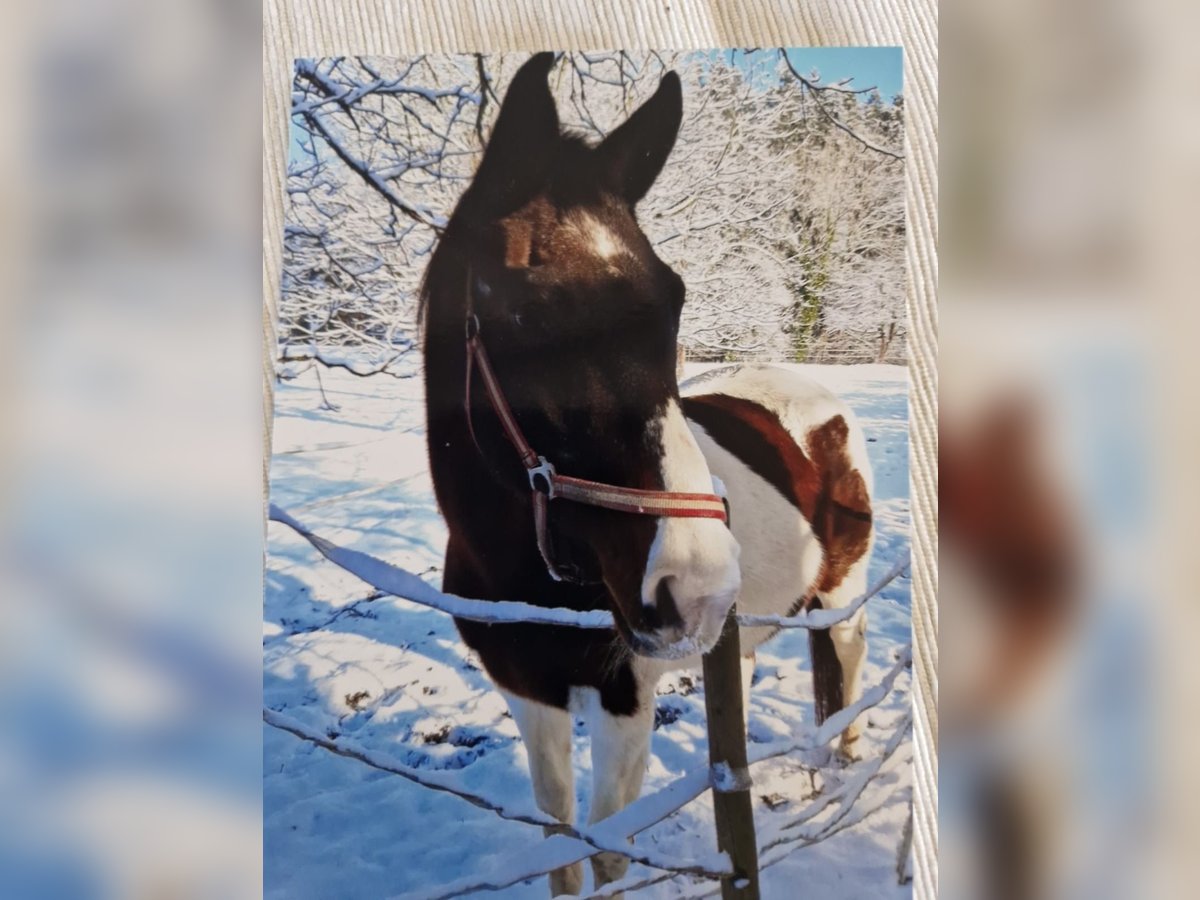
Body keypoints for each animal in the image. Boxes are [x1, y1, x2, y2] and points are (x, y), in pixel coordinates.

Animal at [422, 54, 873, 897]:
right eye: (522, 310)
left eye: (676, 300)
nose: (693, 587)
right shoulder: (526, 689)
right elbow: (559, 836)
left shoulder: (623, 697)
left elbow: (606, 849)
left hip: (842, 594)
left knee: (850, 664)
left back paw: (847, 756)